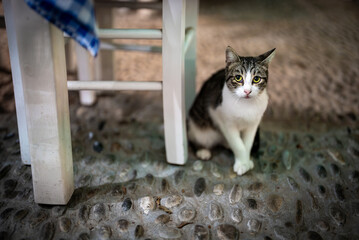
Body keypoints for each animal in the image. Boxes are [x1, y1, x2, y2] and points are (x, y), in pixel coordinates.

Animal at [188, 46, 276, 175]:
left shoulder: (253, 124)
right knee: (193, 137)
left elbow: (247, 144)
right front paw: (242, 163)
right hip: (197, 127)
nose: (247, 91)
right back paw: (202, 151)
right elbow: (238, 144)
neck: (246, 105)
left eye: (256, 79)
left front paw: (246, 161)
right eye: (238, 78)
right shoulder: (223, 120)